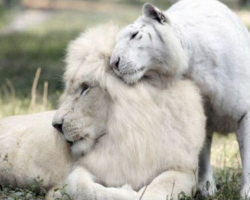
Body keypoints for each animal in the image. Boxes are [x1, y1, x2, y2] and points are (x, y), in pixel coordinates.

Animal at [0, 23, 205, 200]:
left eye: (85, 88)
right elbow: (81, 187)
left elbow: (154, 193)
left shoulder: (184, 170)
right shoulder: (87, 166)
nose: (56, 125)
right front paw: (58, 193)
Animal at [110, 0, 250, 198]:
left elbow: (248, 158)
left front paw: (247, 192)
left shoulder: (245, 113)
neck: (192, 64)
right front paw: (206, 189)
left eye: (134, 35)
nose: (113, 63)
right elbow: (202, 153)